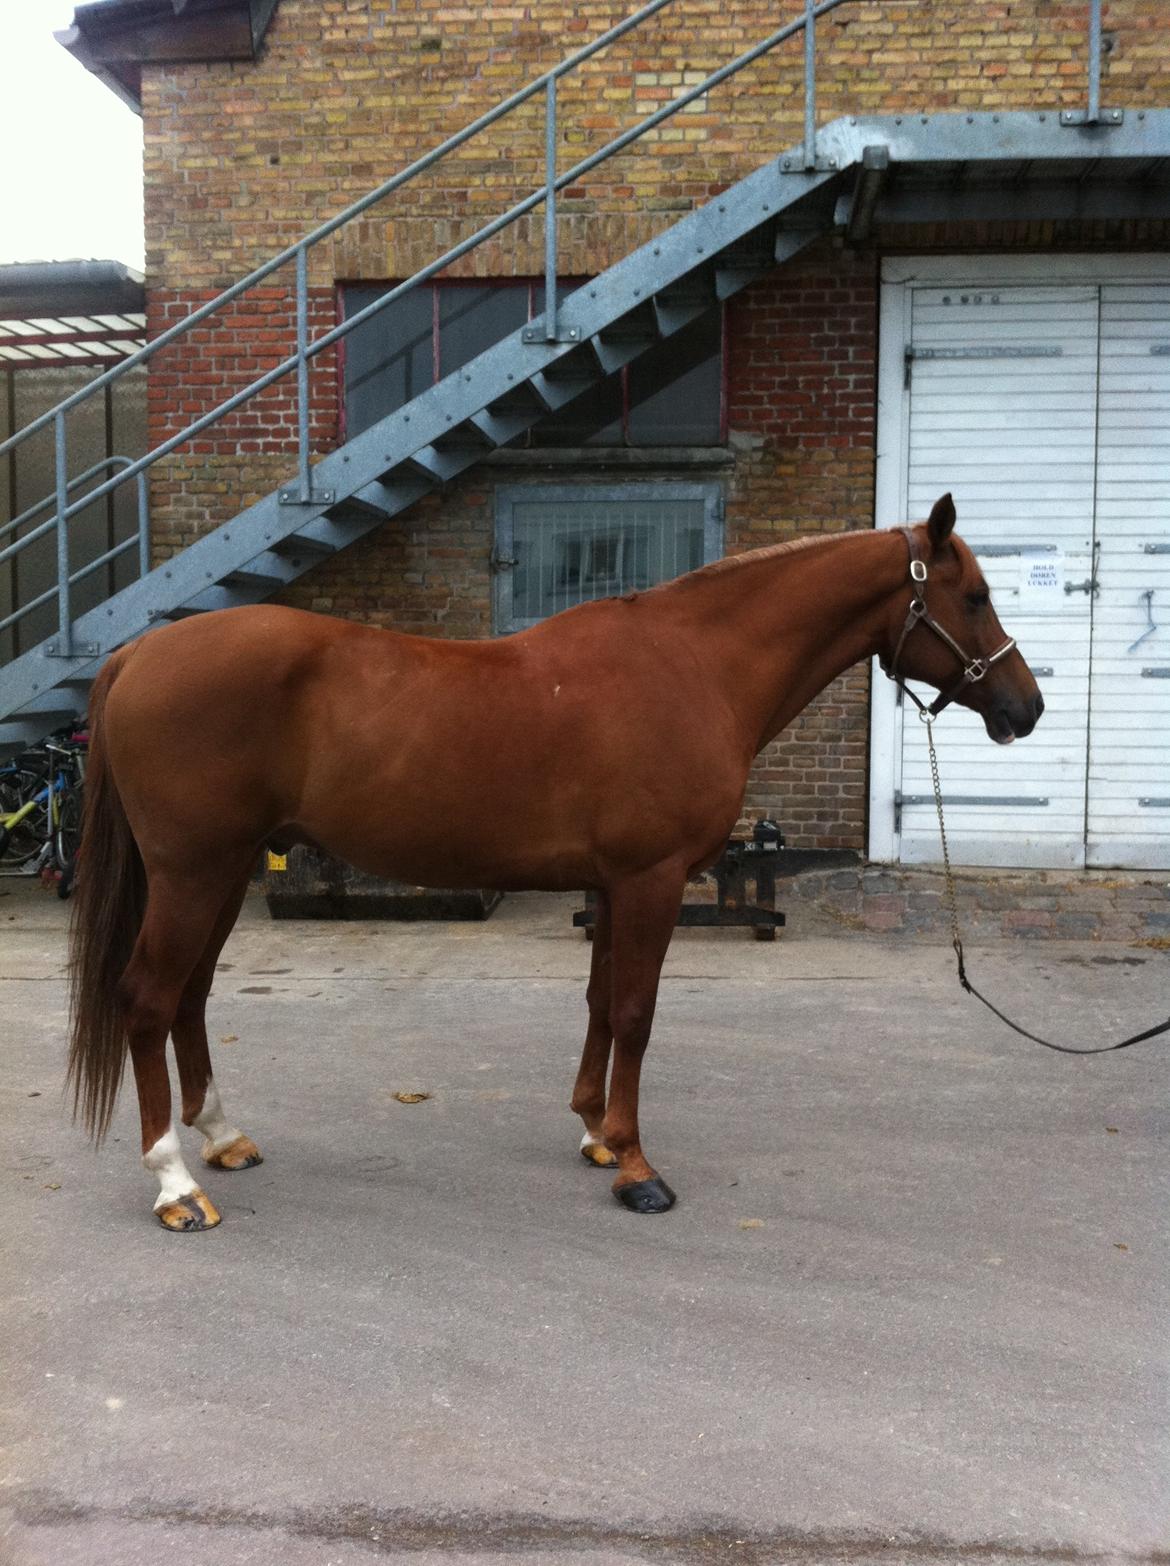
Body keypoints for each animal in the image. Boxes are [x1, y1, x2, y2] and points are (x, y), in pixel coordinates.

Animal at [67, 493, 1042, 1230]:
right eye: (974, 596)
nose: (1025, 708)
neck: (695, 664)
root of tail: (139, 651)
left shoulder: (613, 884)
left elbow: (602, 1005)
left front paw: (596, 1134)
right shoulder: (651, 881)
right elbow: (637, 1014)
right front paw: (639, 1170)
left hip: (224, 873)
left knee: (190, 997)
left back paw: (223, 1138)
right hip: (193, 873)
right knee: (149, 999)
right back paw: (175, 1183)